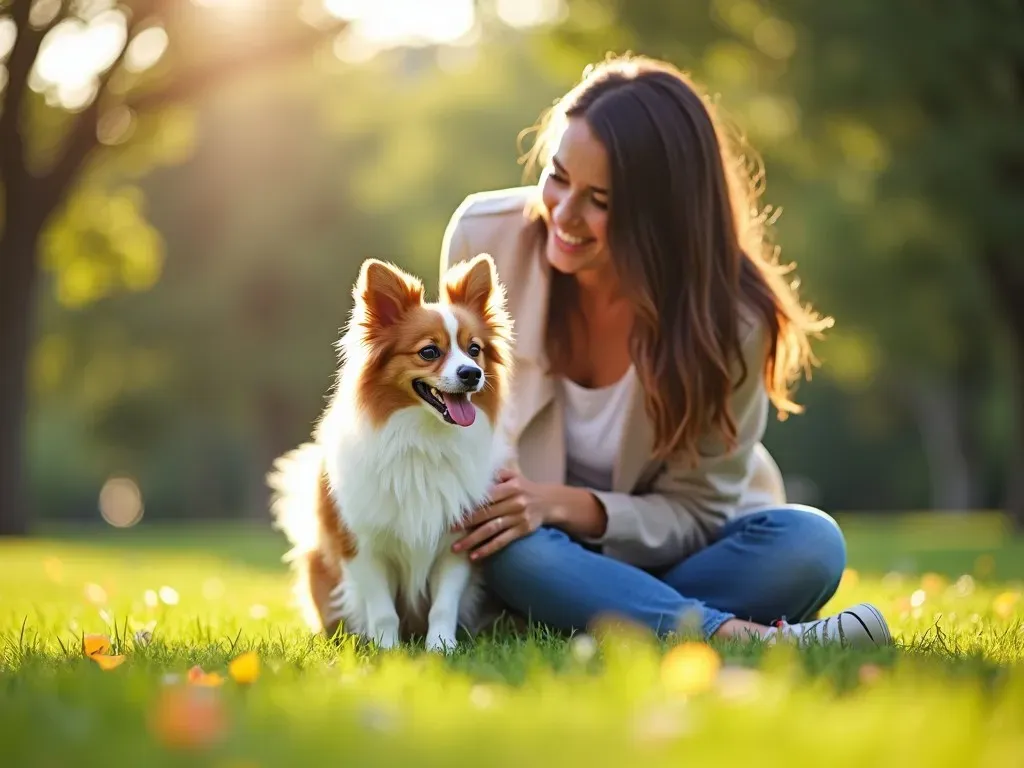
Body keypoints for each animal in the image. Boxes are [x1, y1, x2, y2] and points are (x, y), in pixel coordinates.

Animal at [270, 256, 516, 651]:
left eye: (475, 349)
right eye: (429, 351)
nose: (472, 373)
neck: (424, 437)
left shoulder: (457, 543)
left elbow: (443, 606)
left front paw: (440, 648)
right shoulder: (363, 546)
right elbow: (382, 609)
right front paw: (387, 651)